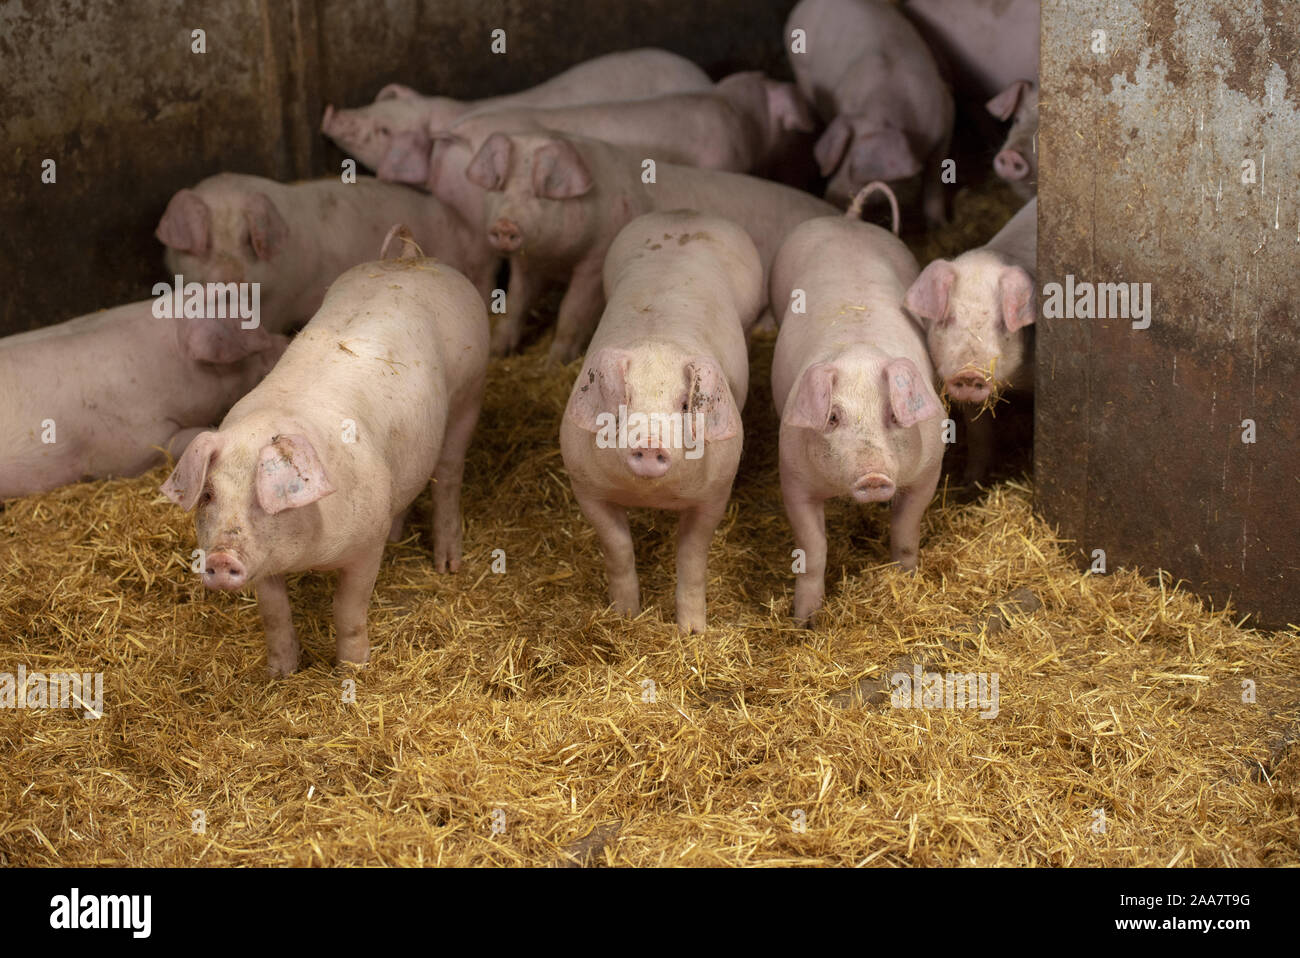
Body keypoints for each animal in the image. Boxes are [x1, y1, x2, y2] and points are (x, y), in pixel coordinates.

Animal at [462, 130, 837, 361]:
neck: (558, 261)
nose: (505, 226)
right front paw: (498, 352)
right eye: (501, 186)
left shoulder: (596, 260)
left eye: (541, 191)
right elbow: (516, 302)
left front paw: (552, 363)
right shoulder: (529, 264)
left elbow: (572, 310)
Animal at [559, 211, 759, 631]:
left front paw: (693, 632)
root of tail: (685, 214)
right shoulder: (584, 486)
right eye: (624, 400)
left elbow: (692, 557)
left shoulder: (715, 493)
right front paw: (625, 616)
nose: (650, 444)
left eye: (684, 405)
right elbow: (618, 548)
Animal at [769, 194, 946, 629]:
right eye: (833, 417)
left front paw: (906, 582)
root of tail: (848, 220)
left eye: (895, 416)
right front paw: (805, 622)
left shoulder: (929, 471)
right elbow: (813, 550)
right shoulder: (793, 477)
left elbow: (905, 532)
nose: (873, 476)